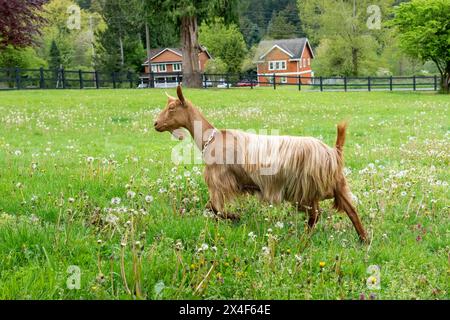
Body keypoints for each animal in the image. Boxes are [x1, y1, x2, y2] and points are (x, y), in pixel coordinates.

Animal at [153, 85, 368, 242]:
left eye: (171, 108)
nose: (155, 124)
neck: (211, 138)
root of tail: (333, 151)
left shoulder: (219, 181)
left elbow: (215, 208)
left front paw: (235, 217)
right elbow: (210, 208)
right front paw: (233, 217)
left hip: (307, 188)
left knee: (316, 215)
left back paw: (304, 239)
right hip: (335, 185)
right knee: (350, 211)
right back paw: (363, 240)